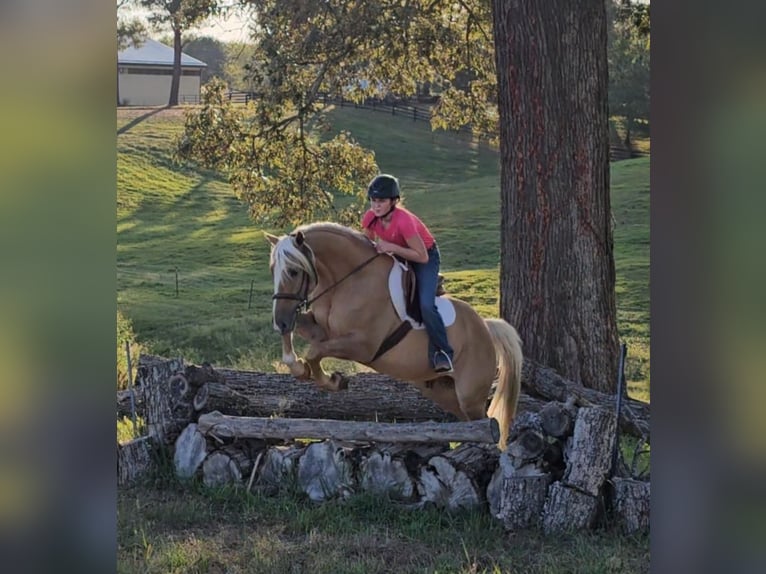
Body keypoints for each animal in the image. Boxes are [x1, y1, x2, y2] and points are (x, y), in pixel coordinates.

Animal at [265, 222, 523, 450]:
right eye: (272, 270)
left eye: (293, 271)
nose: (280, 321)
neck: (348, 281)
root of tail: (486, 327)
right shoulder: (320, 329)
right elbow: (303, 339)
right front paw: (299, 368)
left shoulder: (362, 345)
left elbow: (315, 352)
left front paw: (333, 381)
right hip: (443, 391)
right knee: (467, 422)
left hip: (470, 395)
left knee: (483, 423)